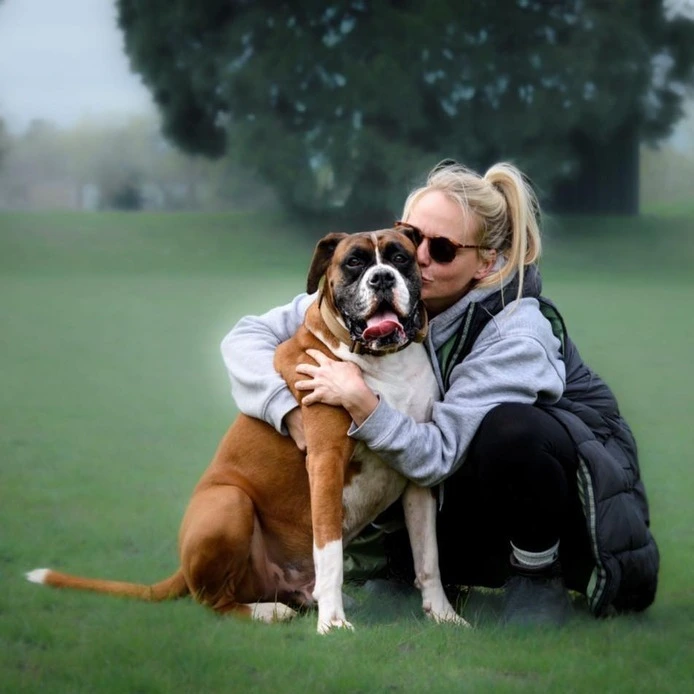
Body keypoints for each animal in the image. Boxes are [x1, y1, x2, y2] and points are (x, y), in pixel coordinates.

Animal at [25, 227, 468, 636]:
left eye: (400, 257)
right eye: (354, 263)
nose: (381, 278)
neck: (385, 363)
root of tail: (182, 568)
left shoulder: (419, 476)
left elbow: (428, 556)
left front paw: (442, 613)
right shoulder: (325, 463)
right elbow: (329, 552)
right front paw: (333, 623)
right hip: (229, 502)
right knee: (211, 601)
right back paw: (268, 612)